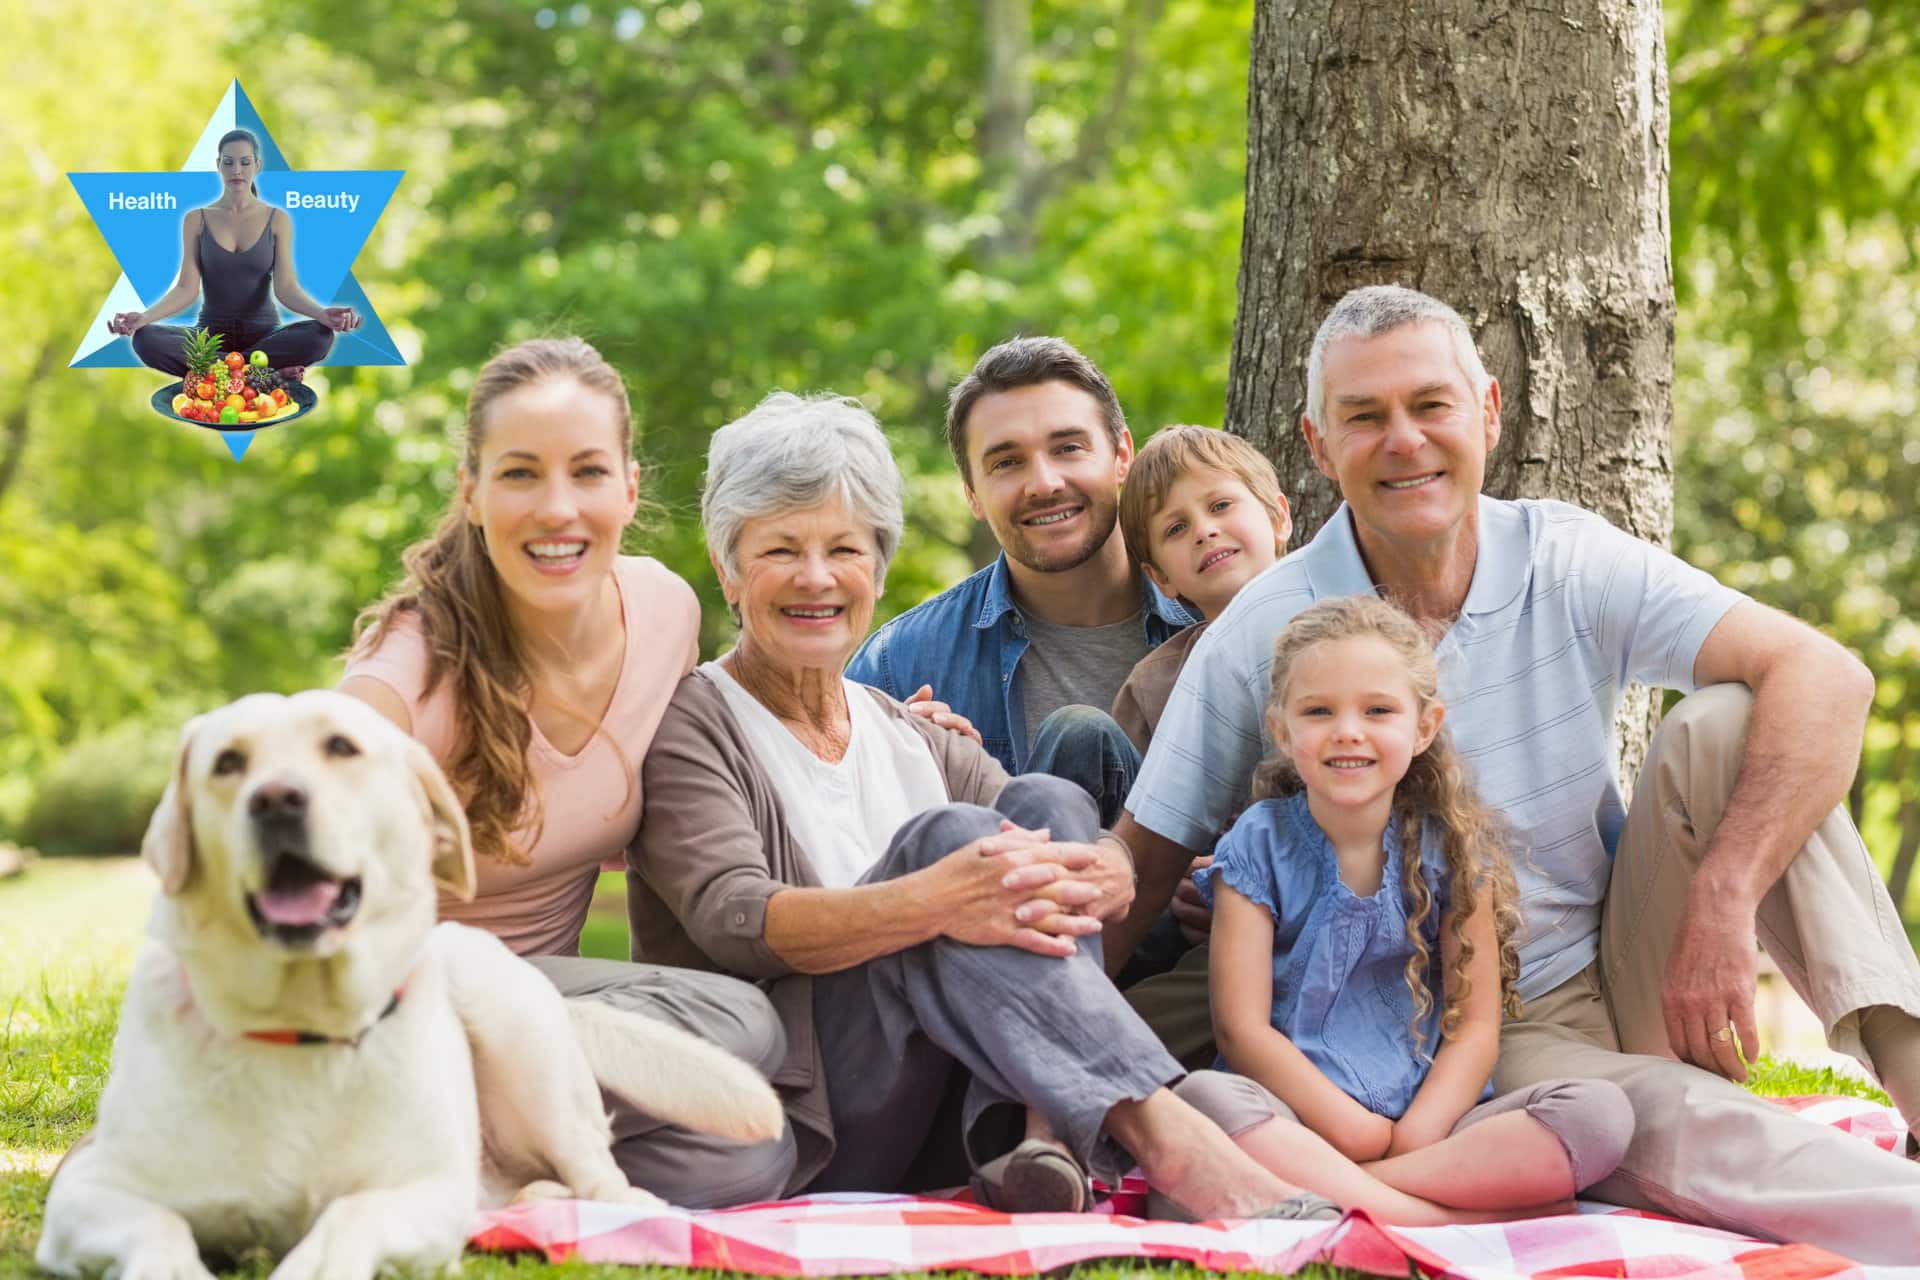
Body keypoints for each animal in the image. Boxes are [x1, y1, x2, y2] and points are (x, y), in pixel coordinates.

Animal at [33, 694, 779, 1274]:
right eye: (228, 763)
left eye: (341, 747)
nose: (276, 799)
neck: (299, 1025)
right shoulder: (86, 1193)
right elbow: (159, 1230)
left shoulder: (418, 1193)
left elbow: (346, 1221)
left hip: (512, 1025)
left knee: (600, 1175)